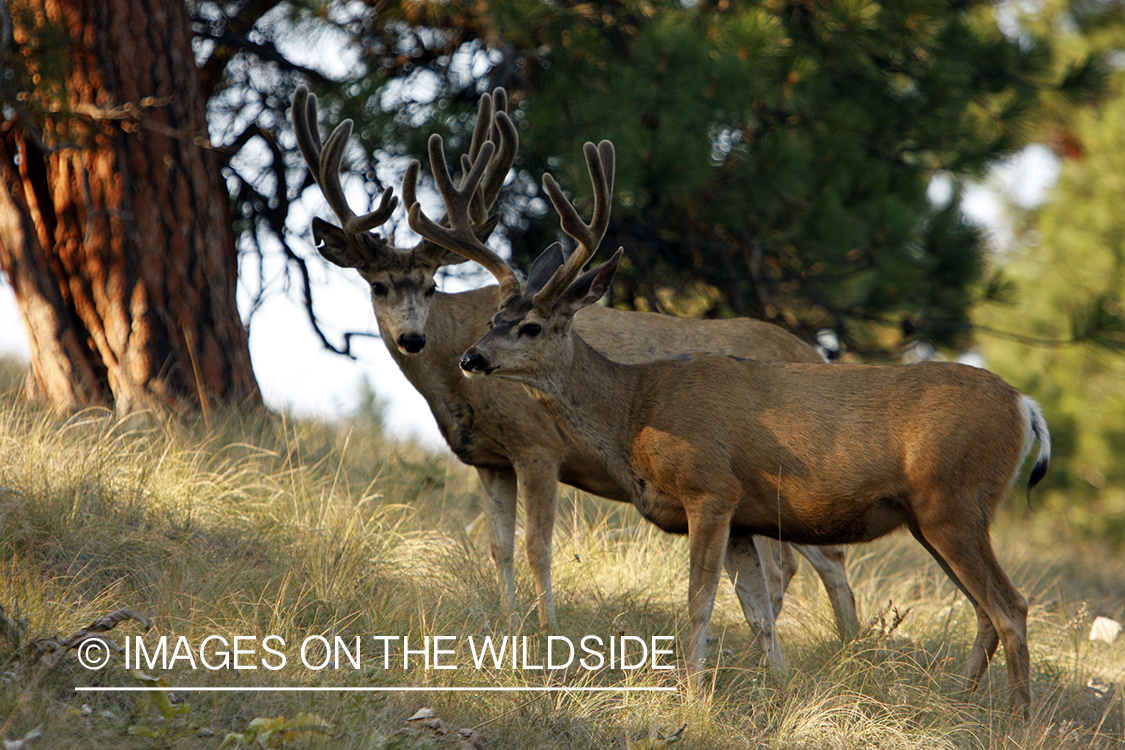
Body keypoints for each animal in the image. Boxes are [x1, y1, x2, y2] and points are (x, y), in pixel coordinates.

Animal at [289, 86, 858, 660]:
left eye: (430, 286)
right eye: (377, 285)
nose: (412, 338)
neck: (452, 387)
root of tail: (816, 354)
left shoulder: (539, 444)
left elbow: (537, 545)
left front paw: (547, 631)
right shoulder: (489, 458)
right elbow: (498, 546)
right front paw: (509, 625)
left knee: (817, 560)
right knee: (799, 563)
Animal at [408, 132, 1051, 718]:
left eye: (532, 327)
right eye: (494, 317)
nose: (471, 358)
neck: (634, 408)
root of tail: (1026, 406)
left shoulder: (711, 489)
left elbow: (700, 600)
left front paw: (691, 695)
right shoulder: (745, 516)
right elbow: (757, 614)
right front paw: (781, 694)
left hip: (954, 502)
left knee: (1010, 607)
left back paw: (1015, 721)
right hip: (930, 516)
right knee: (984, 611)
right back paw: (957, 706)